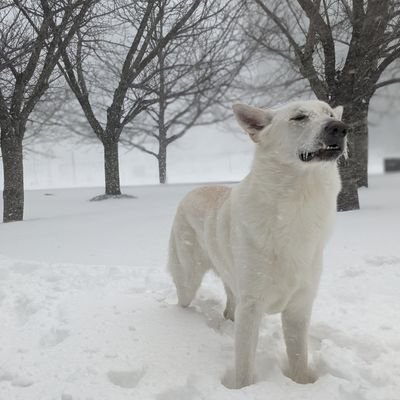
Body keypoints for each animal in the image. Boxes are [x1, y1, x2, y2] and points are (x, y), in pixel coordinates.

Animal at [167, 99, 346, 388]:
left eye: (329, 113)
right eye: (299, 117)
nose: (340, 127)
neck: (299, 203)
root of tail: (194, 189)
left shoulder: (299, 306)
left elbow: (299, 357)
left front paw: (302, 385)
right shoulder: (251, 307)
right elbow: (244, 368)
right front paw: (245, 390)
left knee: (230, 301)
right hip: (188, 279)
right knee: (183, 300)